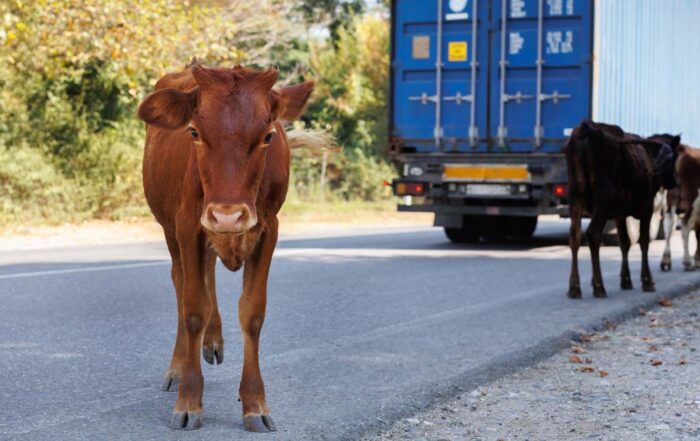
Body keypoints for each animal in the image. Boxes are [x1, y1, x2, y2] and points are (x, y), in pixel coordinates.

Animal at [137, 62, 312, 430]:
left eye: (267, 136)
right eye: (194, 132)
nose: (227, 216)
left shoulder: (268, 229)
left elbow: (253, 313)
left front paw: (255, 404)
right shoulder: (188, 225)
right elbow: (192, 309)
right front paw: (189, 399)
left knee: (208, 274)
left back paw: (213, 341)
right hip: (173, 231)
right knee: (183, 284)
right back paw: (179, 365)